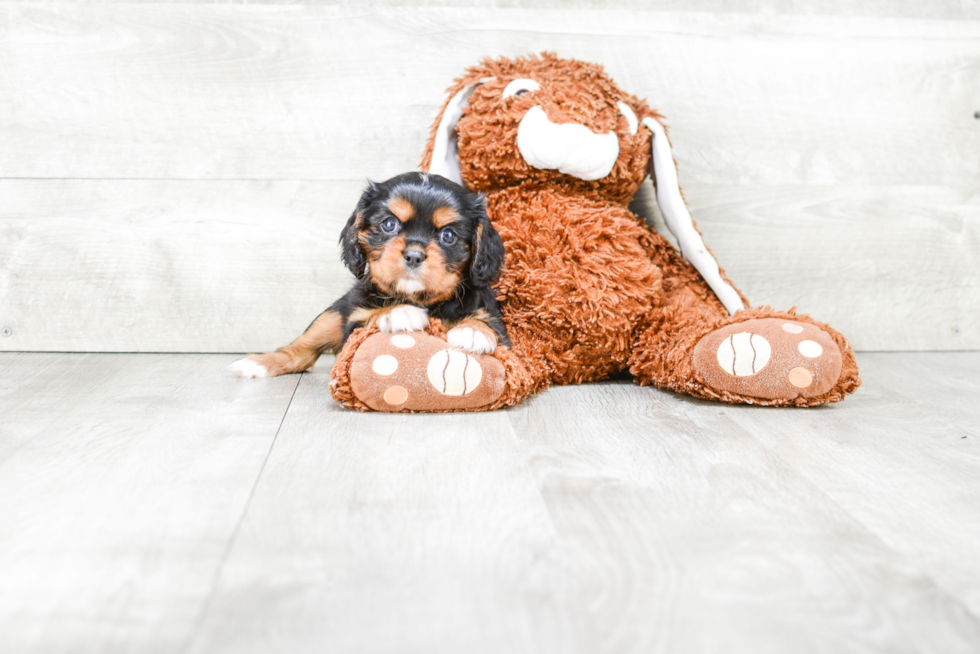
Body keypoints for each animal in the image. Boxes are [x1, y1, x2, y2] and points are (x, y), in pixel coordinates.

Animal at [230, 172, 506, 382]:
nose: (414, 255)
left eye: (448, 236)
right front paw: (397, 312)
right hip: (333, 314)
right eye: (389, 224)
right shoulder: (353, 324)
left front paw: (473, 330)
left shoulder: (502, 331)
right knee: (300, 350)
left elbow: (487, 323)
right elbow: (371, 315)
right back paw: (257, 364)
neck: (419, 298)